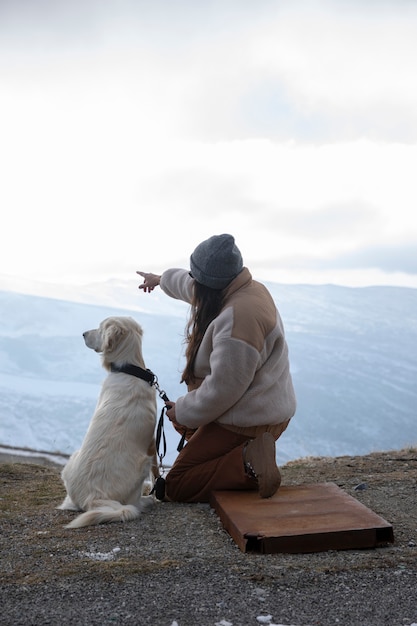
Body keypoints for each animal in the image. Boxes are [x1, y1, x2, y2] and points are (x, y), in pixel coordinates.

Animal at [57, 316, 156, 528]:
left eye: (101, 328)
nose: (83, 333)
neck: (129, 370)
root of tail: (91, 497)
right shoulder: (152, 442)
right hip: (144, 462)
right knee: (133, 503)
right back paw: (147, 500)